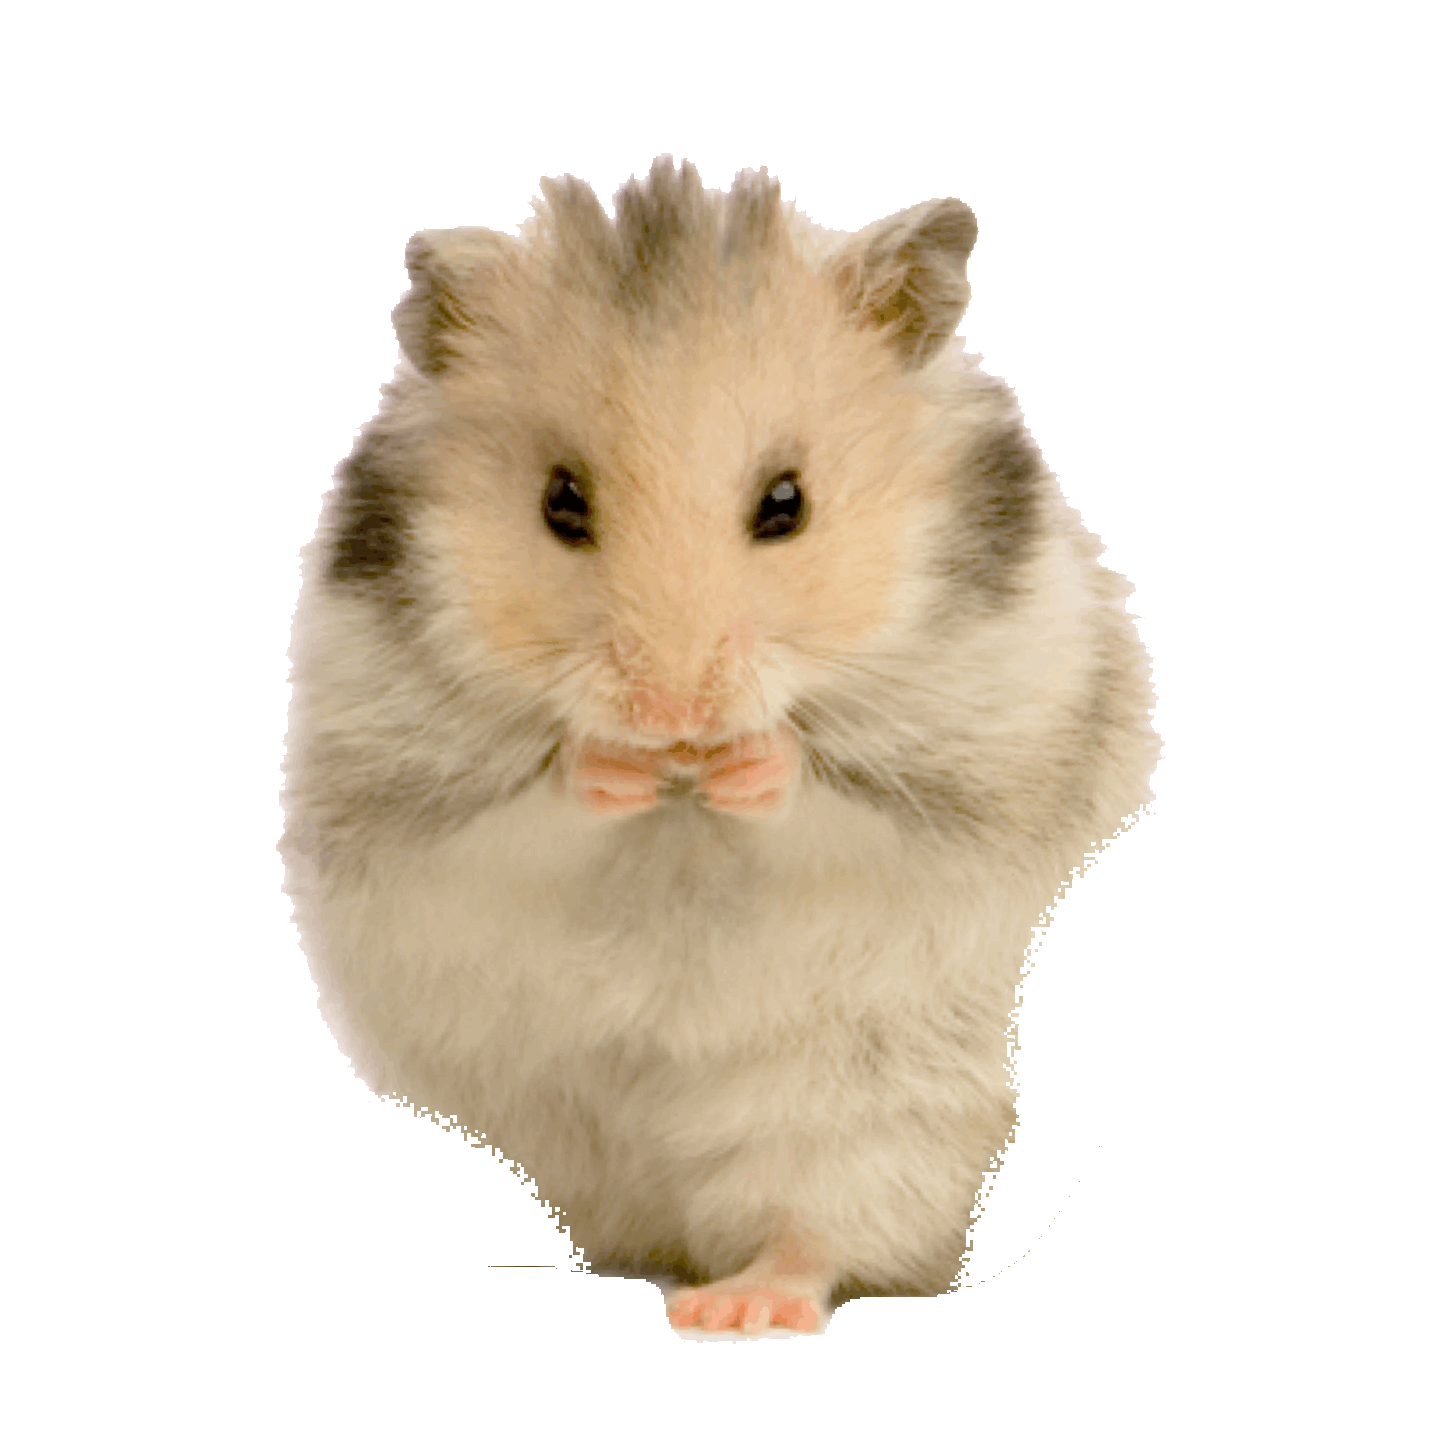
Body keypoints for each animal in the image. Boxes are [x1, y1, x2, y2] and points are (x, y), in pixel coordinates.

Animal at [280, 156, 1159, 1334]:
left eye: (786, 504)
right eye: (560, 503)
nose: (674, 714)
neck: (682, 809)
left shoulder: (972, 748)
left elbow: (830, 797)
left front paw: (751, 763)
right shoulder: (403, 781)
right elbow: (533, 805)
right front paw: (611, 765)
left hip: (864, 1112)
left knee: (823, 1231)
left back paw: (736, 1308)